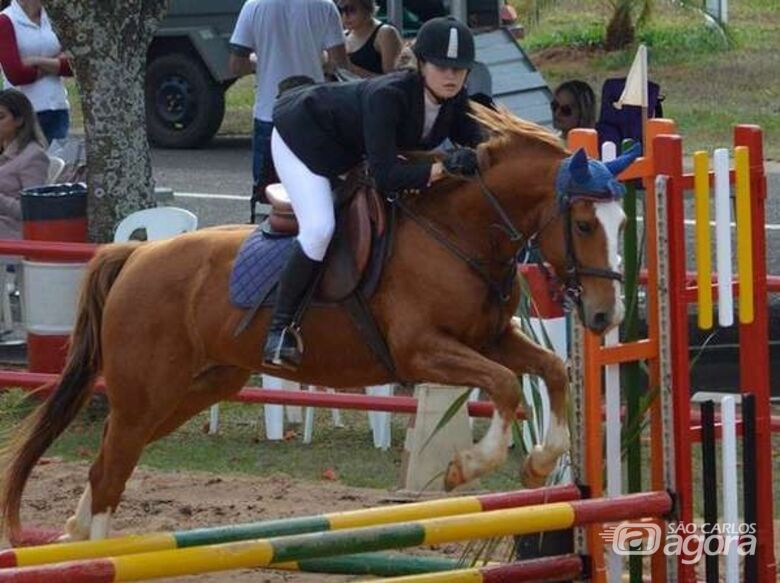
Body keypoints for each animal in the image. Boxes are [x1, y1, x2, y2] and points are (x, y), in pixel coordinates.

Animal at [1, 106, 632, 544]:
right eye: (582, 223)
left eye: (622, 222)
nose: (606, 315)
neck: (457, 234)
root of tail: (133, 256)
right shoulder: (422, 351)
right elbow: (502, 385)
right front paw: (465, 468)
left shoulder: (490, 338)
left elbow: (550, 370)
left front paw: (540, 461)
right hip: (146, 393)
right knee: (111, 469)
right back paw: (92, 548)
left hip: (192, 389)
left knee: (108, 459)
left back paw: (74, 534)